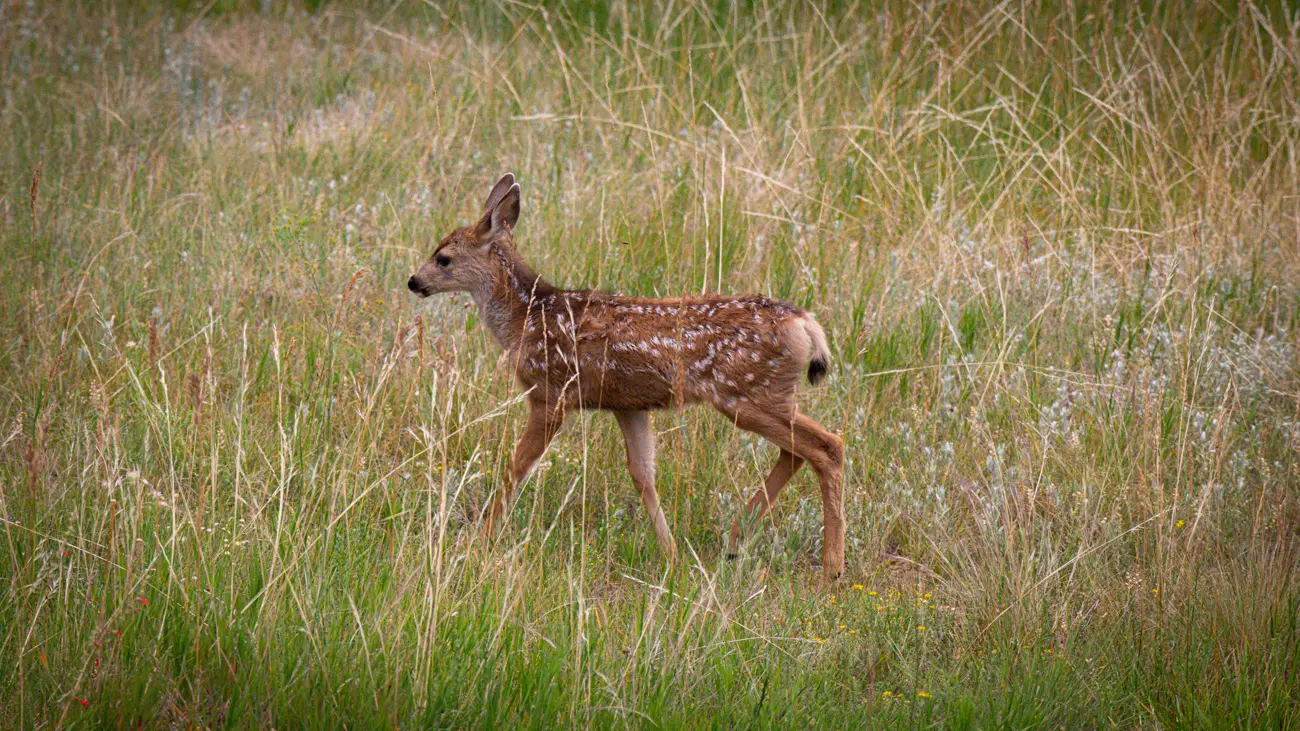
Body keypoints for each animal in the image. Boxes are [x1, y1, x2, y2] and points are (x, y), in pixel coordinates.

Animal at [407, 173, 845, 580]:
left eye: (443, 257)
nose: (414, 282)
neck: (527, 318)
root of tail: (805, 323)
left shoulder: (551, 393)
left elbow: (518, 465)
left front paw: (482, 537)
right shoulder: (629, 405)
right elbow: (642, 475)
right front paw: (671, 553)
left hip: (746, 392)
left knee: (827, 445)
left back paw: (831, 566)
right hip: (765, 394)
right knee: (798, 450)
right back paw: (736, 541)